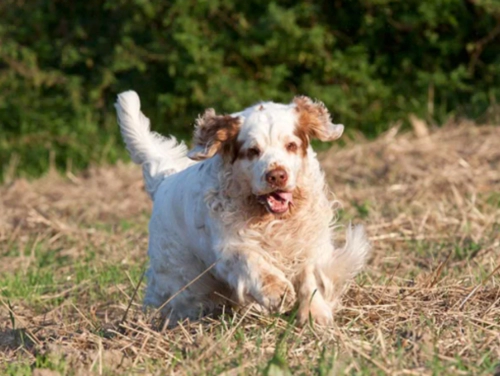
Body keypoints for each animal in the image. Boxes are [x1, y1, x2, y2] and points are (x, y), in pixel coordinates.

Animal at [115, 92, 370, 326]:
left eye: (291, 145)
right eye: (253, 151)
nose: (277, 175)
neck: (271, 218)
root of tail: (164, 179)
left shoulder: (307, 242)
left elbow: (310, 277)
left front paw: (314, 315)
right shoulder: (228, 247)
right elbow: (250, 259)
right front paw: (276, 291)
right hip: (181, 279)